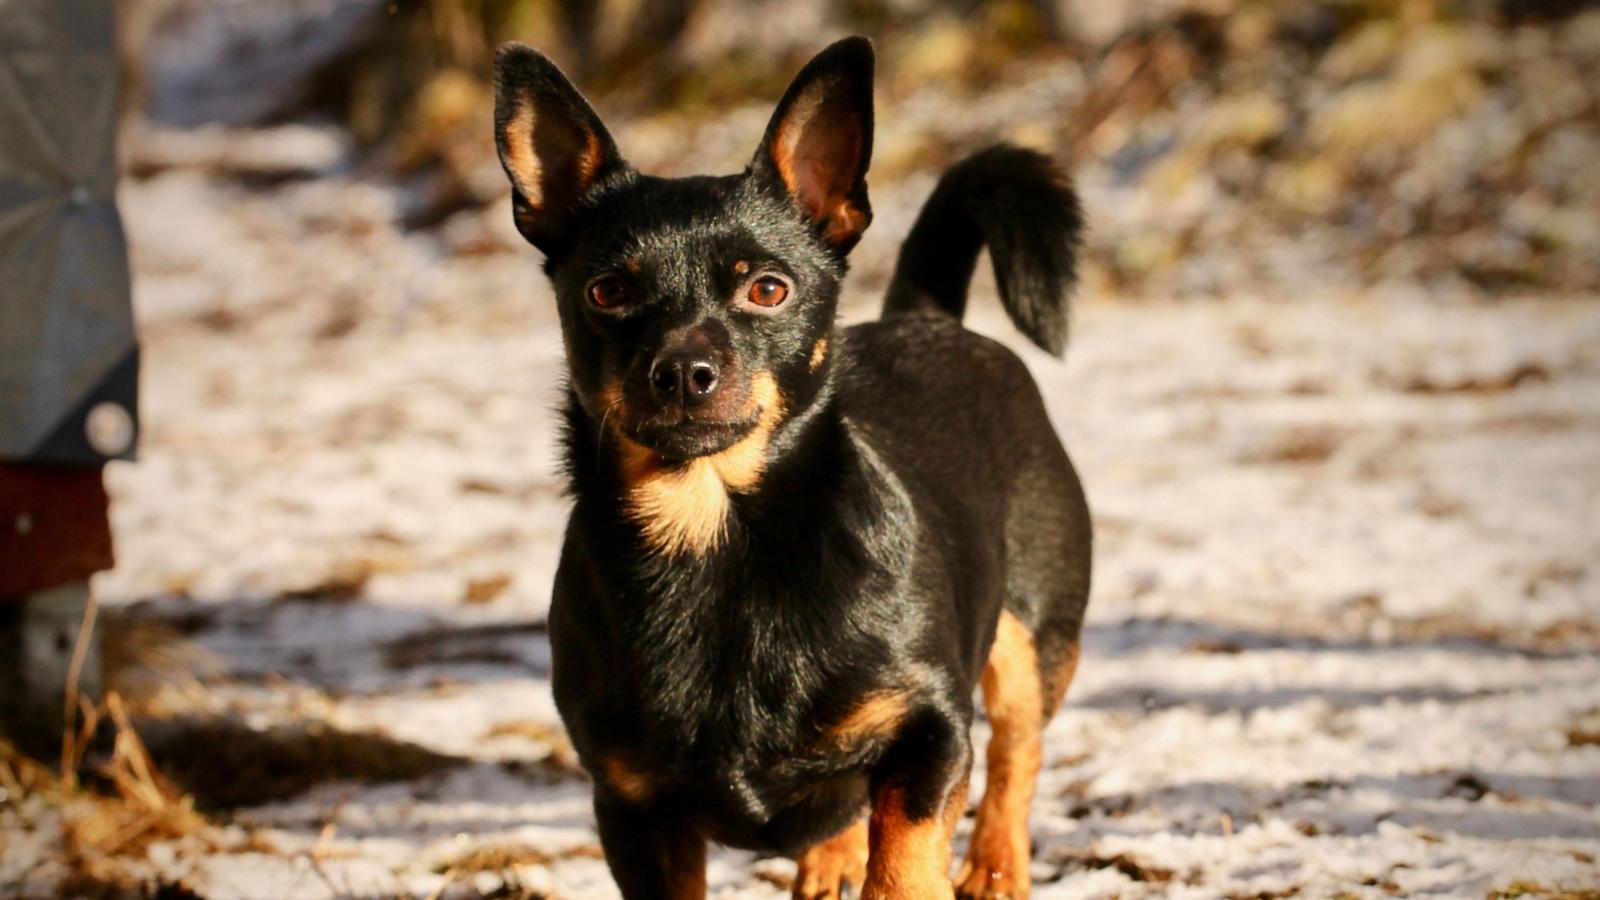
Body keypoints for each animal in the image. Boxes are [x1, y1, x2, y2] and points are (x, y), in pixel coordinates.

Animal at [492, 35, 1094, 896]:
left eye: (768, 289)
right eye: (606, 292)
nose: (683, 371)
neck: (716, 539)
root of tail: (925, 319)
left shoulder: (930, 737)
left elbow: (904, 860)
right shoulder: (631, 806)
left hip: (1033, 637)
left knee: (1019, 753)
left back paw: (995, 866)